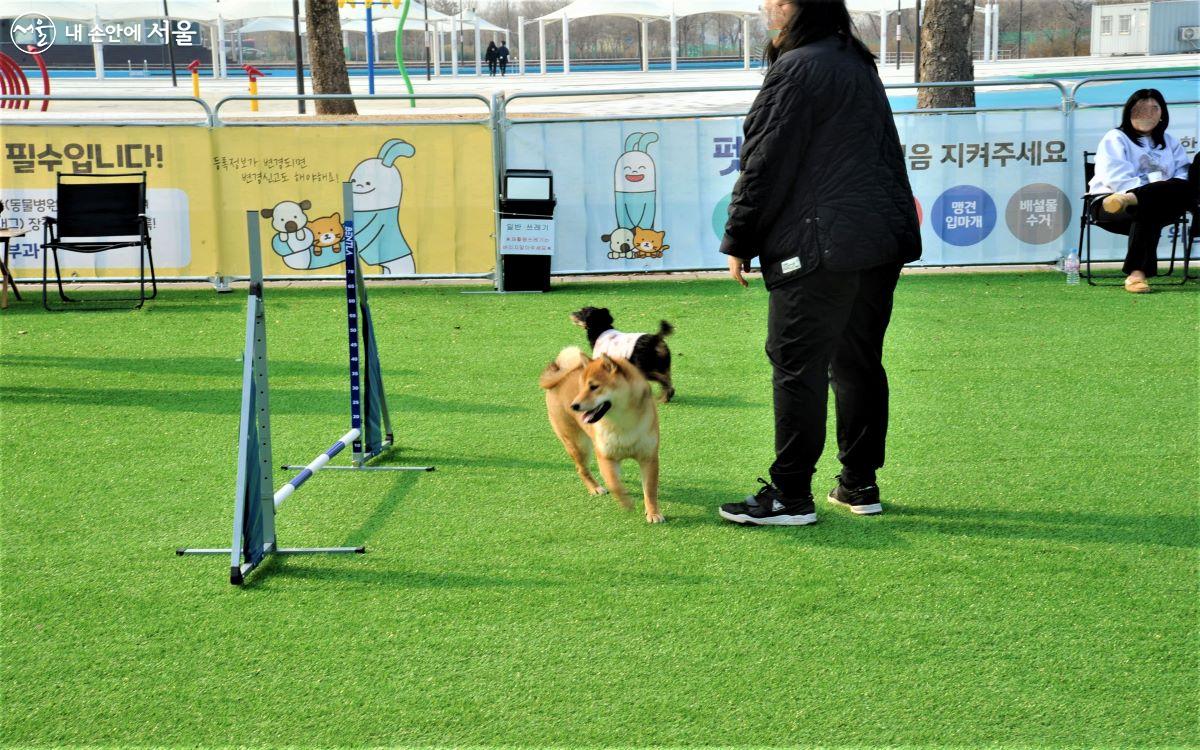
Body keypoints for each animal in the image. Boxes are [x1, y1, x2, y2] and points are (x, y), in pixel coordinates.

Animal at [537, 345, 662, 520]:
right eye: (581, 386)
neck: (623, 423)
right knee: (582, 469)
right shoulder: (605, 456)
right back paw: (595, 488)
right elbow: (614, 484)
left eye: (594, 386)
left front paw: (653, 513)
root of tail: (559, 376)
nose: (573, 405)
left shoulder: (648, 457)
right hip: (579, 445)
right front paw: (626, 501)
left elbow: (650, 490)